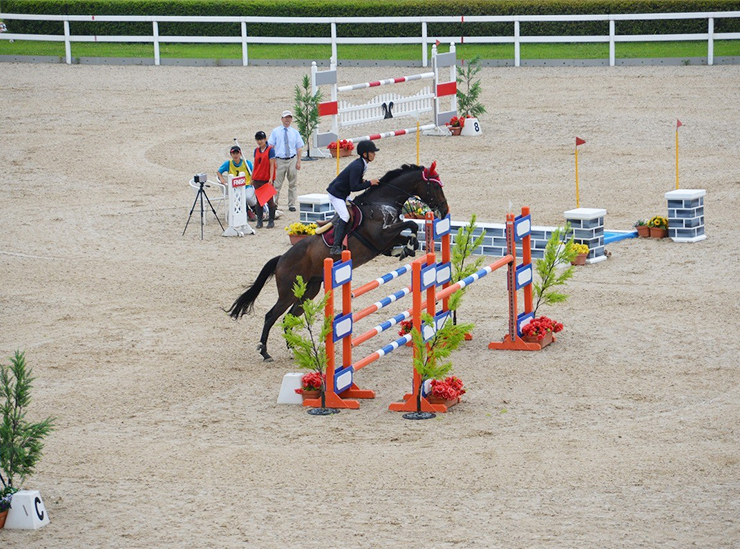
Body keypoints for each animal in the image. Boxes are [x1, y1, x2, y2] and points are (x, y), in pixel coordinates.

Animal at [225, 161, 448, 362]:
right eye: (435, 186)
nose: (445, 211)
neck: (382, 202)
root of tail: (281, 259)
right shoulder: (381, 236)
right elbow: (411, 224)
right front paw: (409, 246)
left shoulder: (386, 241)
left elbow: (407, 232)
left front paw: (406, 249)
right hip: (288, 292)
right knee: (271, 316)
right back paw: (265, 352)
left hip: (309, 290)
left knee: (290, 315)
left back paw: (293, 350)